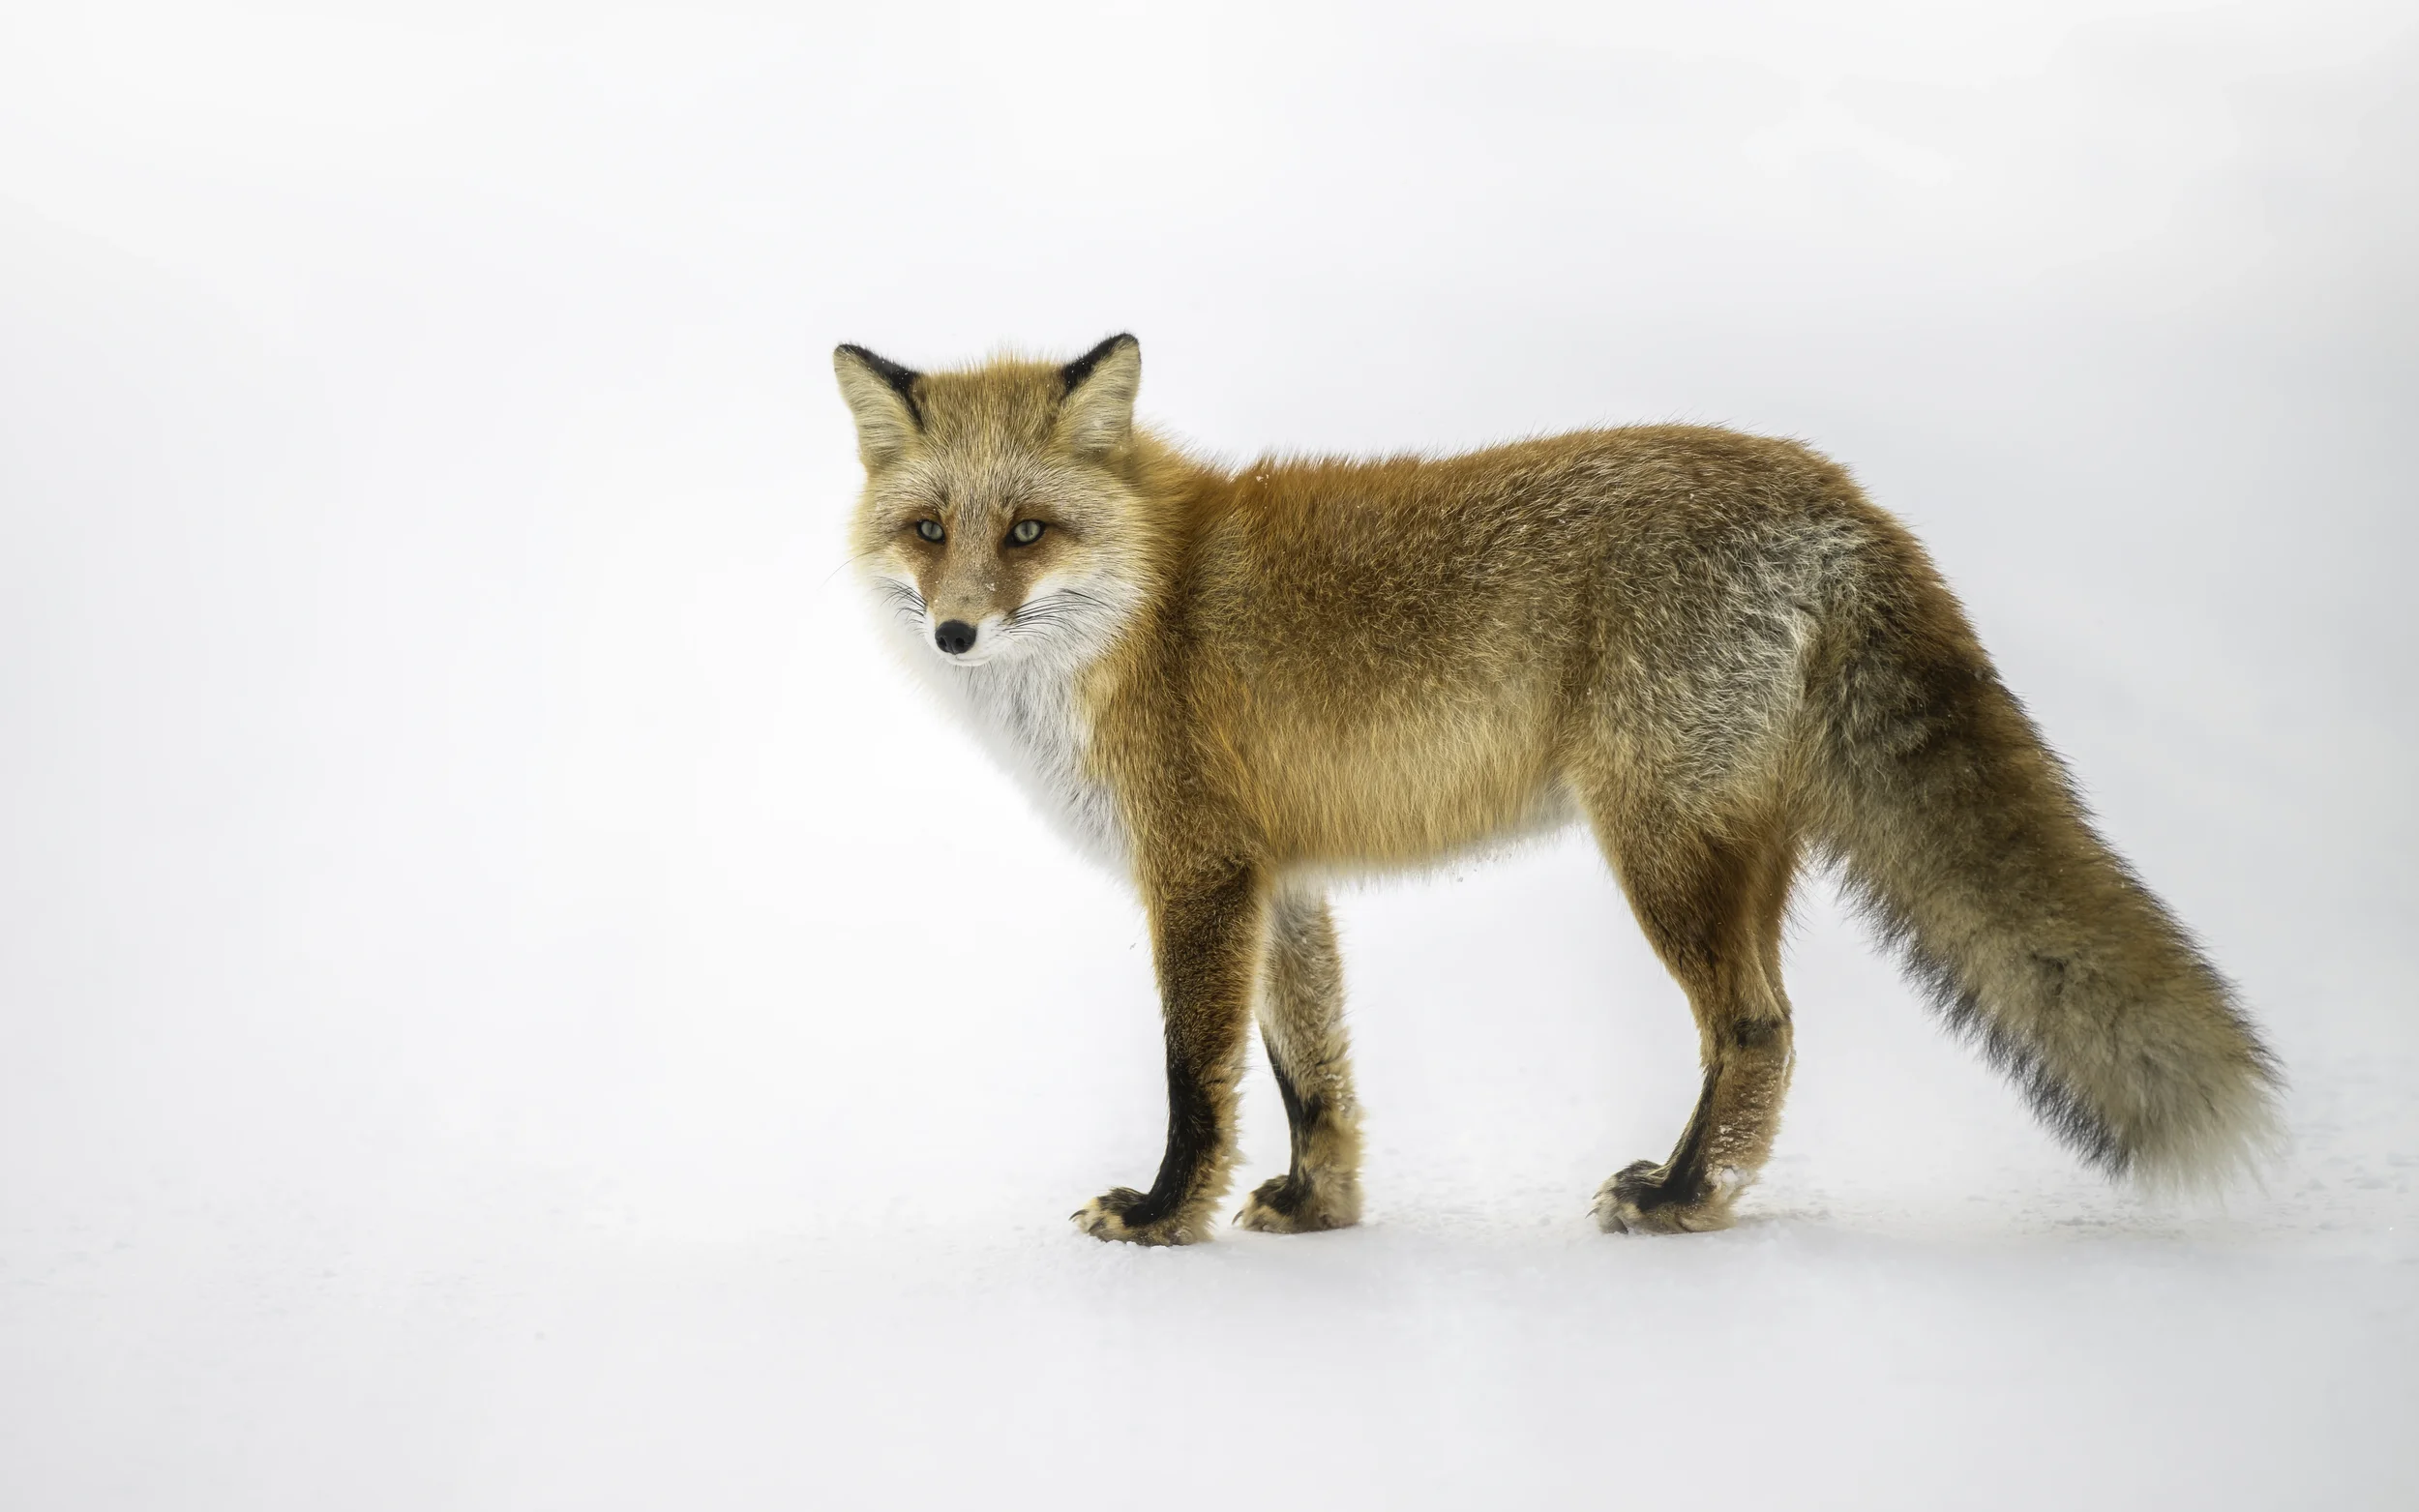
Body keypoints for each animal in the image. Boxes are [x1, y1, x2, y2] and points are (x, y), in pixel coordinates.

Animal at [834, 333, 2281, 1245]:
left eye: (1028, 532)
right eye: (930, 530)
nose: (955, 631)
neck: (1142, 611)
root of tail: (1833, 489)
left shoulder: (1197, 875)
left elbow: (1199, 1078)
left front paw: (1160, 1216)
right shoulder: (1281, 880)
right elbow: (1313, 1077)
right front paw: (1318, 1209)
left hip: (1660, 848)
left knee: (1754, 1026)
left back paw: (1680, 1200)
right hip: (1733, 845)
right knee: (1765, 1033)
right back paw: (1701, 1189)